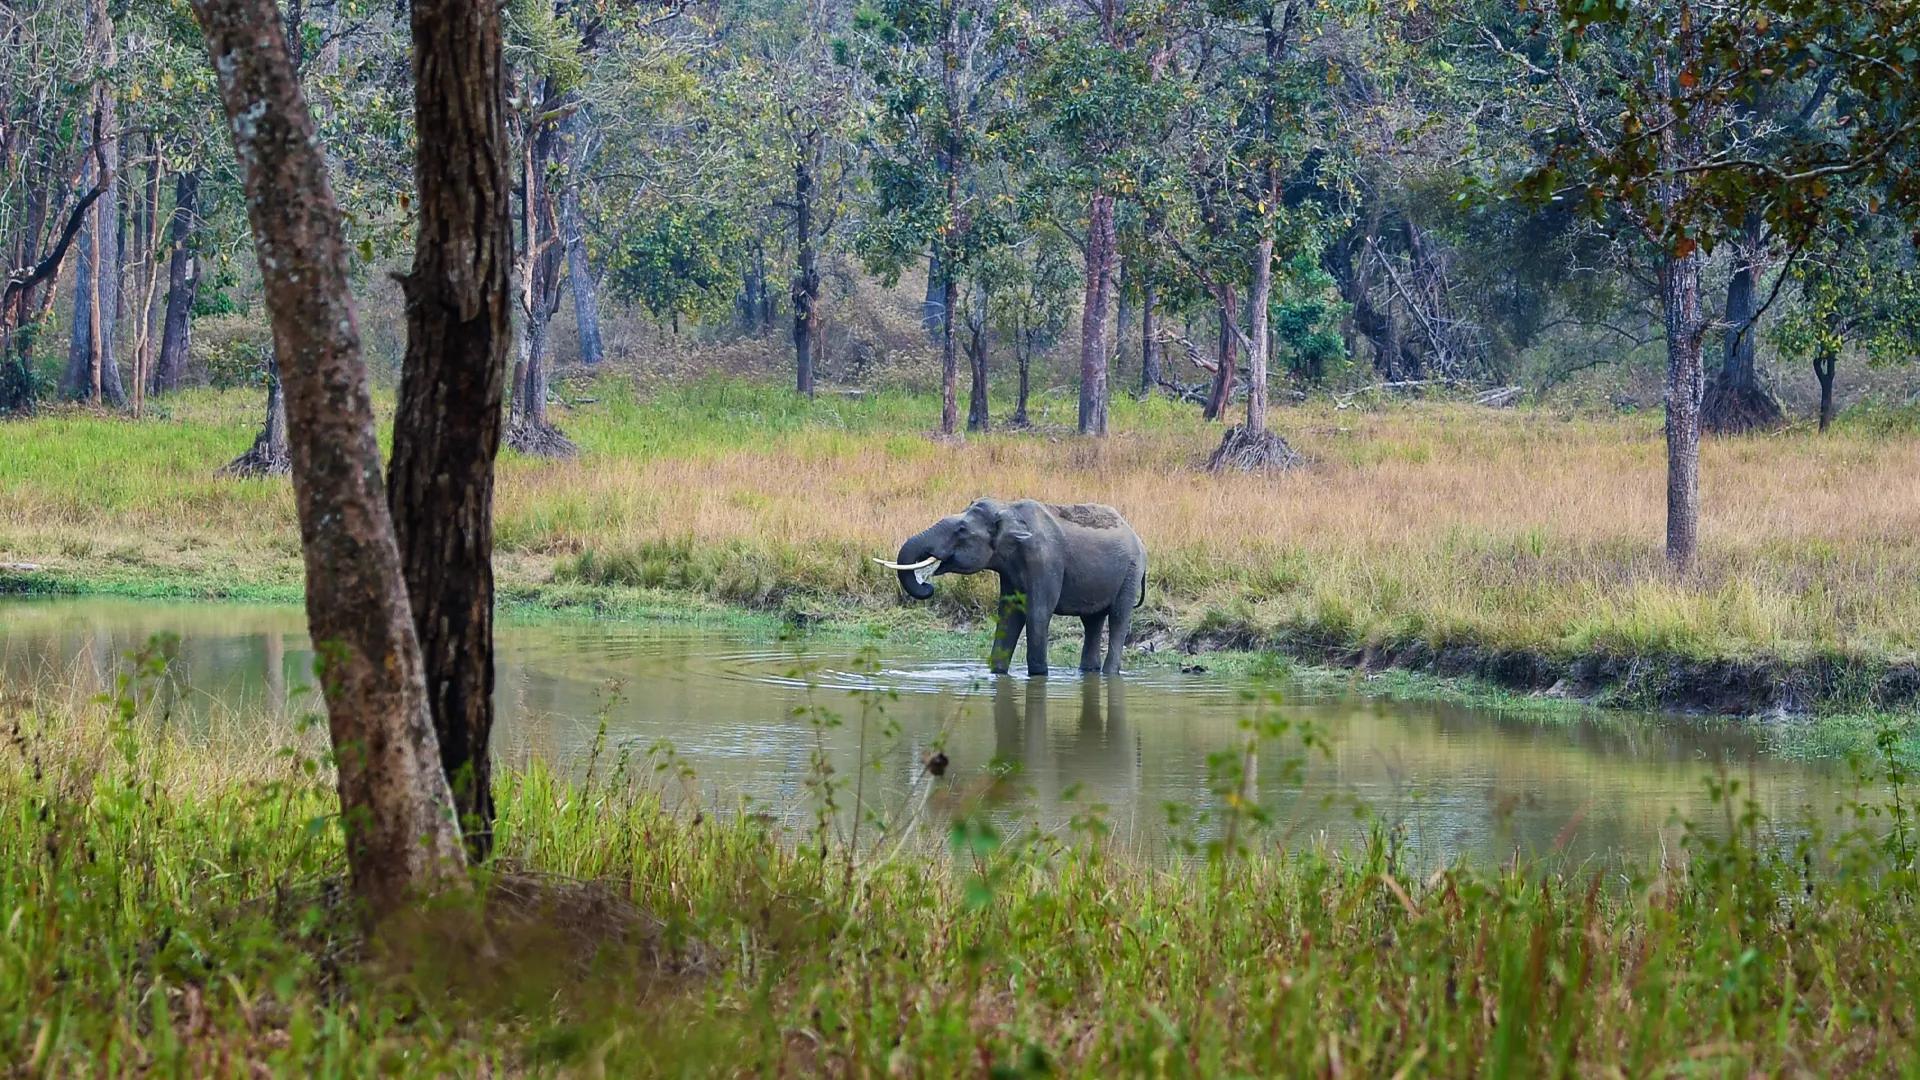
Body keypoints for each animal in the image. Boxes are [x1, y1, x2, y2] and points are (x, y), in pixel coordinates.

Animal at [879, 495, 1144, 672]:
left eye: (962, 530)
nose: (928, 586)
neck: (1007, 508)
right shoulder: (1009, 571)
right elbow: (1008, 615)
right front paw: (997, 673)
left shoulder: (1045, 561)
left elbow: (1038, 614)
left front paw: (1038, 676)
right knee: (1092, 622)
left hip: (1131, 572)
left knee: (1118, 618)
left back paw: (1110, 672)